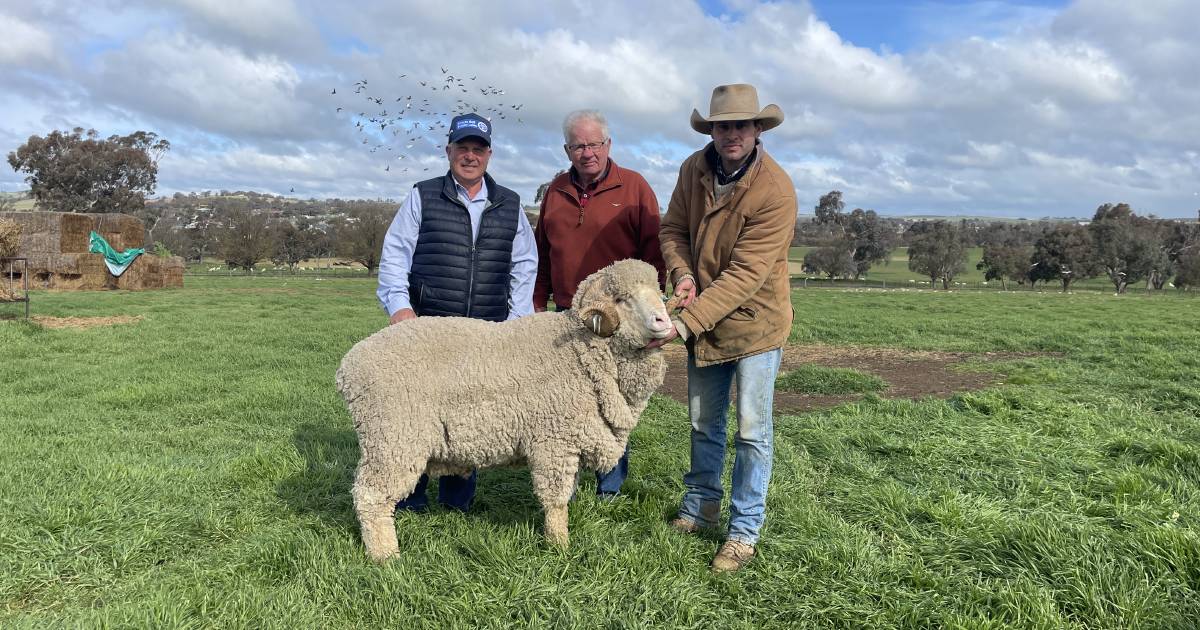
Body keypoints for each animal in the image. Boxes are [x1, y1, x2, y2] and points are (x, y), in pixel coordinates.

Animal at [338, 258, 676, 556]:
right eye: (621, 299)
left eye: (658, 291)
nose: (664, 322)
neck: (581, 351)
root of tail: (348, 366)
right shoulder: (554, 442)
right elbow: (556, 500)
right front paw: (559, 547)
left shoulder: (571, 441)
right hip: (393, 440)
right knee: (370, 497)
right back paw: (385, 556)